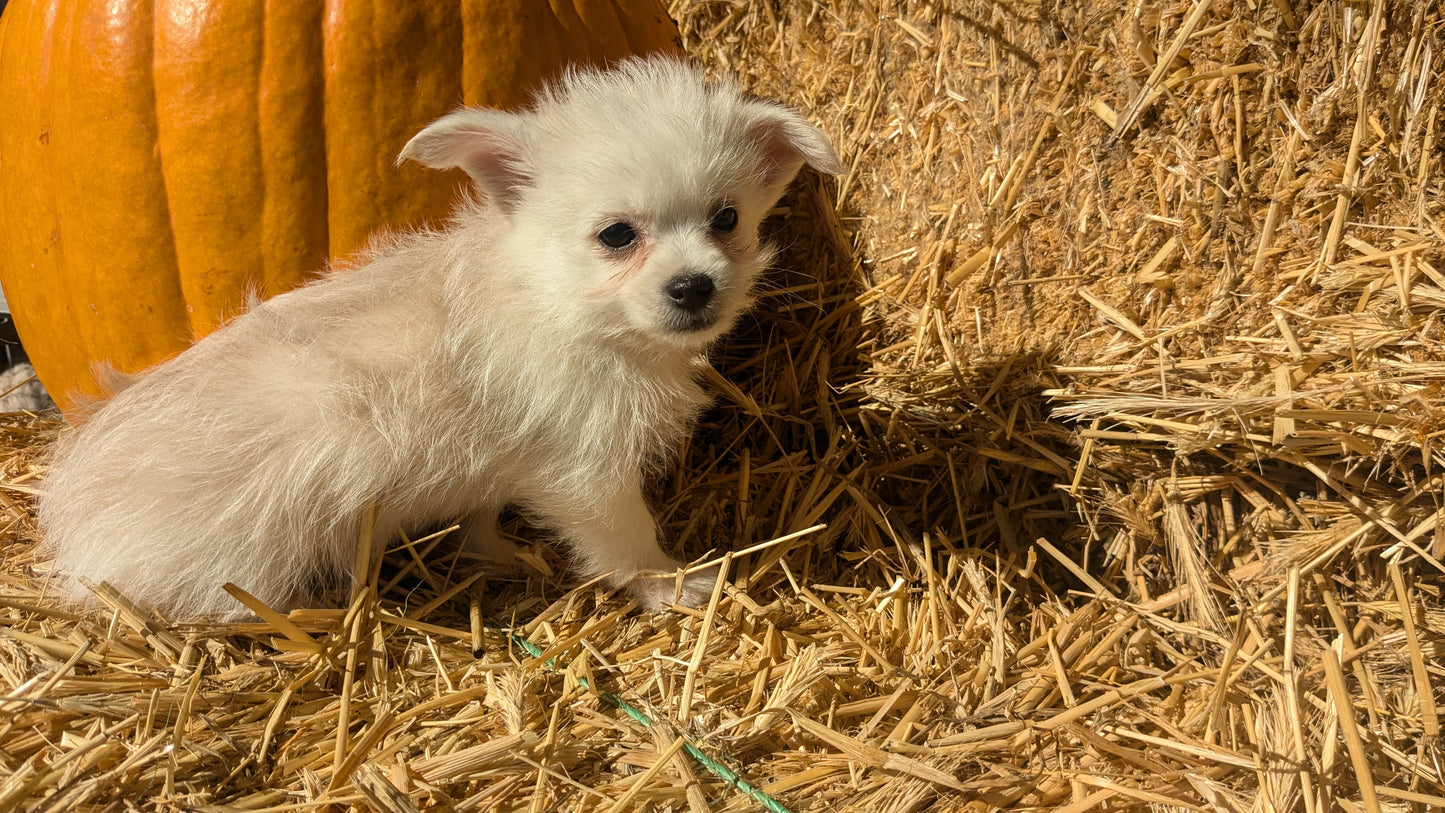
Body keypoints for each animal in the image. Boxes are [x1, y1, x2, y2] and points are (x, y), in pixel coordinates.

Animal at [39, 58, 843, 618]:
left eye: (726, 219)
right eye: (617, 235)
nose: (694, 286)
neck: (558, 302)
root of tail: (71, 534)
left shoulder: (499, 469)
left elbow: (481, 519)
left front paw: (498, 555)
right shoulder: (586, 473)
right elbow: (626, 541)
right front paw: (672, 585)